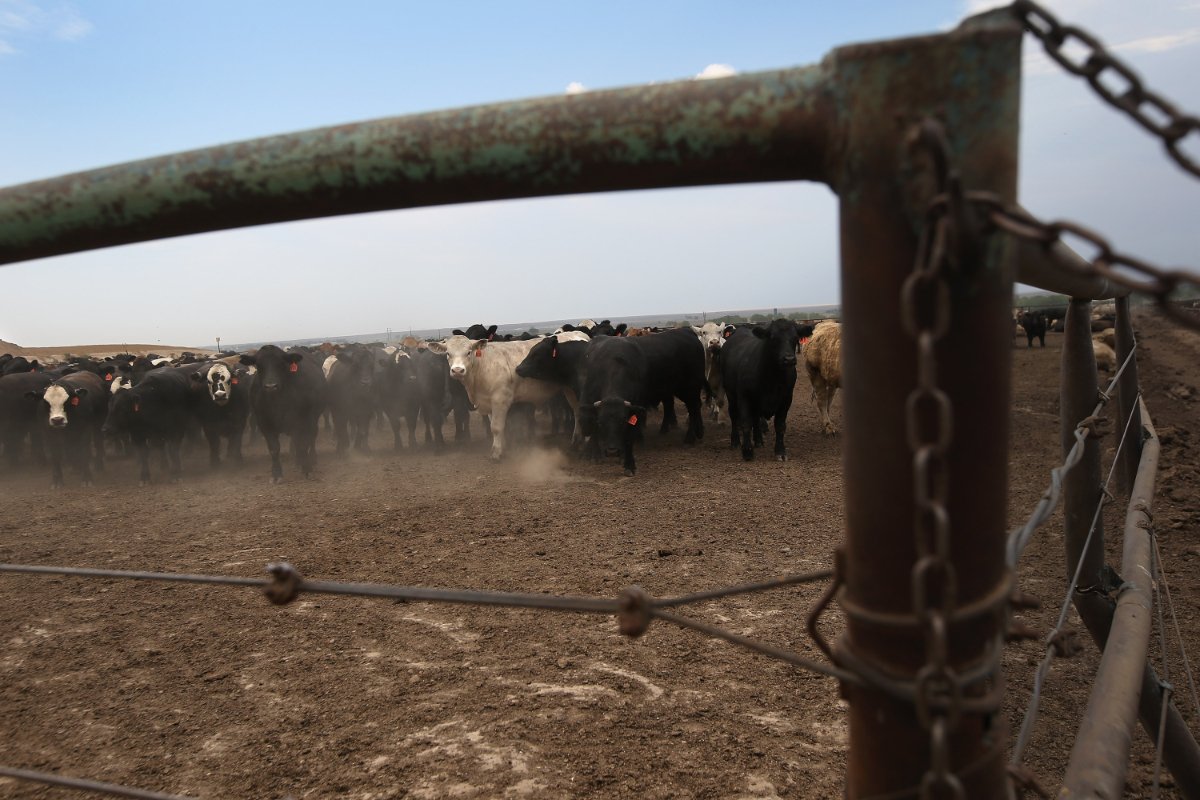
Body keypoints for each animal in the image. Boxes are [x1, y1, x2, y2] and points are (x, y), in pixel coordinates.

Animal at [238, 345, 326, 482]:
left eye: (281, 364)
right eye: (259, 365)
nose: (271, 386)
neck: (277, 401)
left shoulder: (302, 421)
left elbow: (303, 444)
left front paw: (306, 468)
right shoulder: (264, 424)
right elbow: (274, 449)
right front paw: (276, 474)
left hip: (313, 419)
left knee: (311, 438)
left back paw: (311, 458)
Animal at [715, 316, 801, 460]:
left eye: (795, 337)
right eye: (773, 337)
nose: (789, 359)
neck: (773, 377)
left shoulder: (786, 399)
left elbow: (780, 426)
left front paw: (780, 451)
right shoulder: (744, 397)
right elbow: (745, 423)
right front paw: (747, 451)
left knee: (755, 418)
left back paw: (759, 440)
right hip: (731, 394)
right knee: (734, 416)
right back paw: (735, 441)